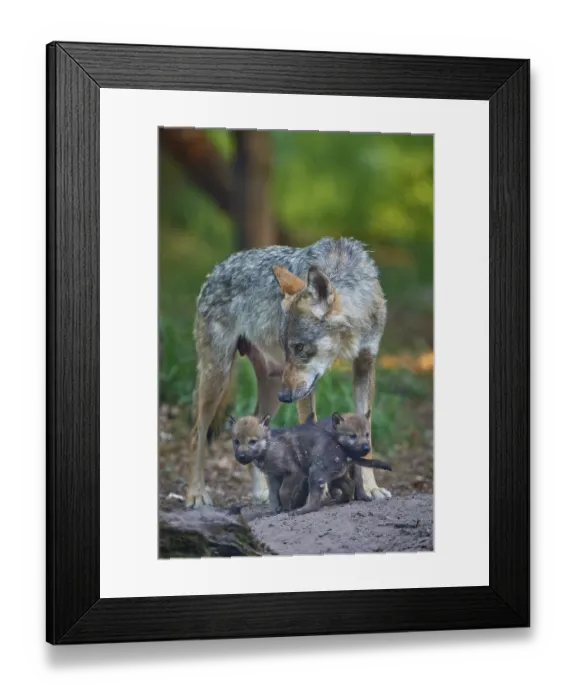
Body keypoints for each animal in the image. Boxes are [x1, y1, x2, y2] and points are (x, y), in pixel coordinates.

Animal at [185, 236, 388, 509]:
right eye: (287, 348)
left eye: (299, 347)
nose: (286, 396)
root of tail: (216, 269)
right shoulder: (305, 390)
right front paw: (320, 489)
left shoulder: (365, 366)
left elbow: (368, 435)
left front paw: (370, 488)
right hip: (218, 378)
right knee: (197, 433)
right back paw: (196, 494)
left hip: (270, 388)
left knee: (255, 422)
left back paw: (261, 493)